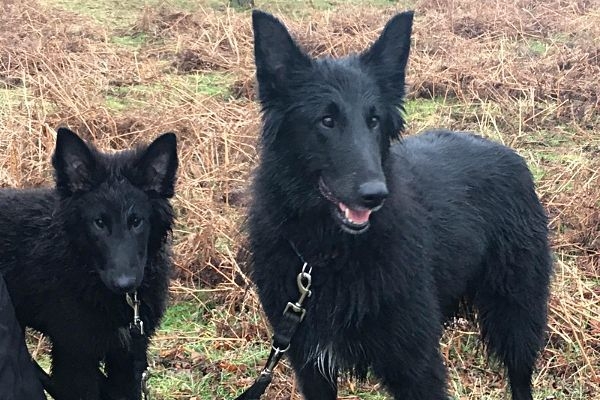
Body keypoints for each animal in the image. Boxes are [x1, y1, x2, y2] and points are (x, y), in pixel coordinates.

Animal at [248, 9, 552, 400]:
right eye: (326, 120)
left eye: (374, 120)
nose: (375, 195)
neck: (329, 255)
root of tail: (508, 153)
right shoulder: (312, 366)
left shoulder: (417, 368)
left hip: (516, 315)